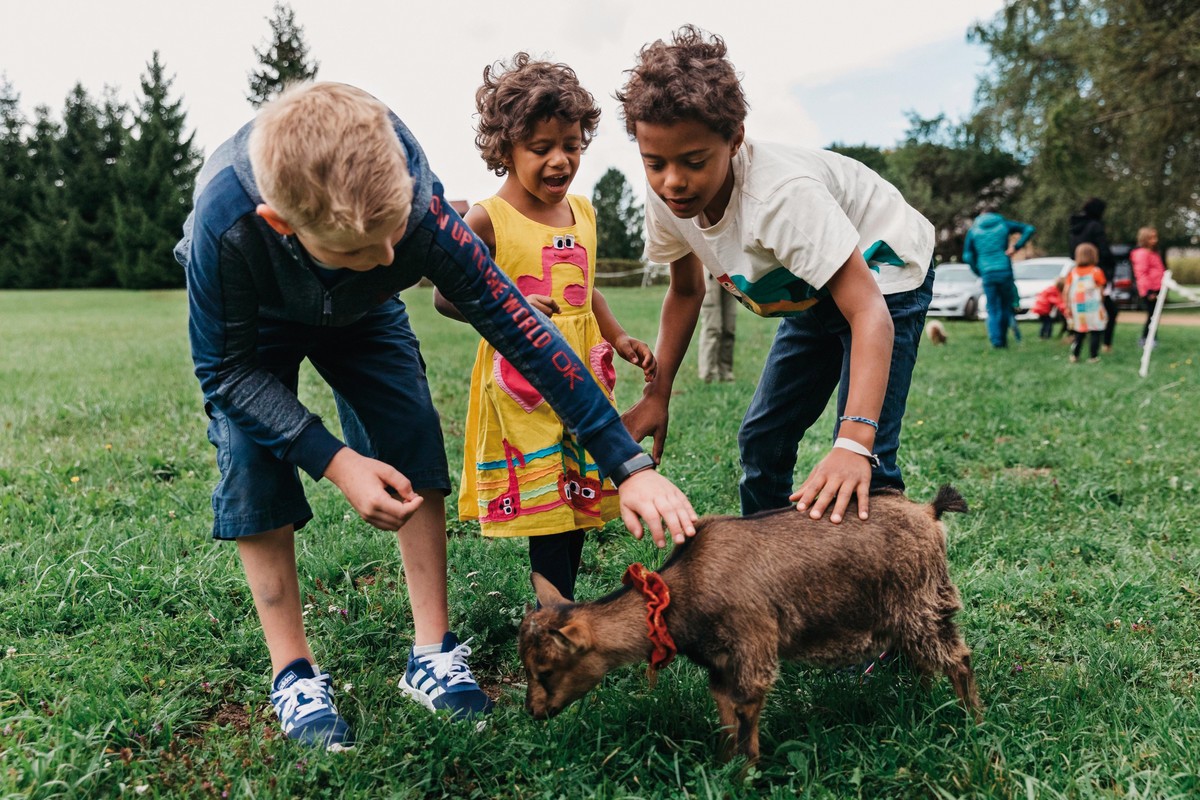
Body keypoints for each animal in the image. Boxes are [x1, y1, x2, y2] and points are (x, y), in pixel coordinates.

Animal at [520, 484, 979, 762]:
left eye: (546, 670)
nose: (533, 713)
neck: (678, 593)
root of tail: (929, 512)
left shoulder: (750, 646)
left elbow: (746, 723)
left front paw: (744, 776)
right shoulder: (721, 663)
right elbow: (727, 716)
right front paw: (723, 767)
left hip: (922, 602)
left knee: (958, 657)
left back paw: (972, 719)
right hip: (907, 614)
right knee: (925, 660)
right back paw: (921, 702)